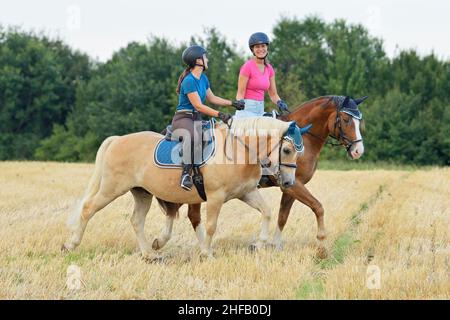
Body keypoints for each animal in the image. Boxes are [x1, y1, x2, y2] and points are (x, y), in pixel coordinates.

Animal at [61, 116, 304, 258]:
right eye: (287, 150)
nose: (288, 183)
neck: (238, 149)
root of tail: (118, 139)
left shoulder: (246, 192)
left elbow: (267, 212)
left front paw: (259, 243)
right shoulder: (215, 197)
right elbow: (211, 226)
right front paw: (207, 253)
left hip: (142, 193)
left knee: (136, 220)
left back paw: (149, 254)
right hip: (112, 188)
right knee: (88, 209)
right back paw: (70, 245)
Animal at [155, 96, 366, 256]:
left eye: (358, 120)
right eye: (346, 120)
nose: (358, 151)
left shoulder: (289, 186)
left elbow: (282, 216)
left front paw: (274, 244)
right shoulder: (294, 184)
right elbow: (318, 207)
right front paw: (321, 243)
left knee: (185, 213)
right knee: (186, 213)